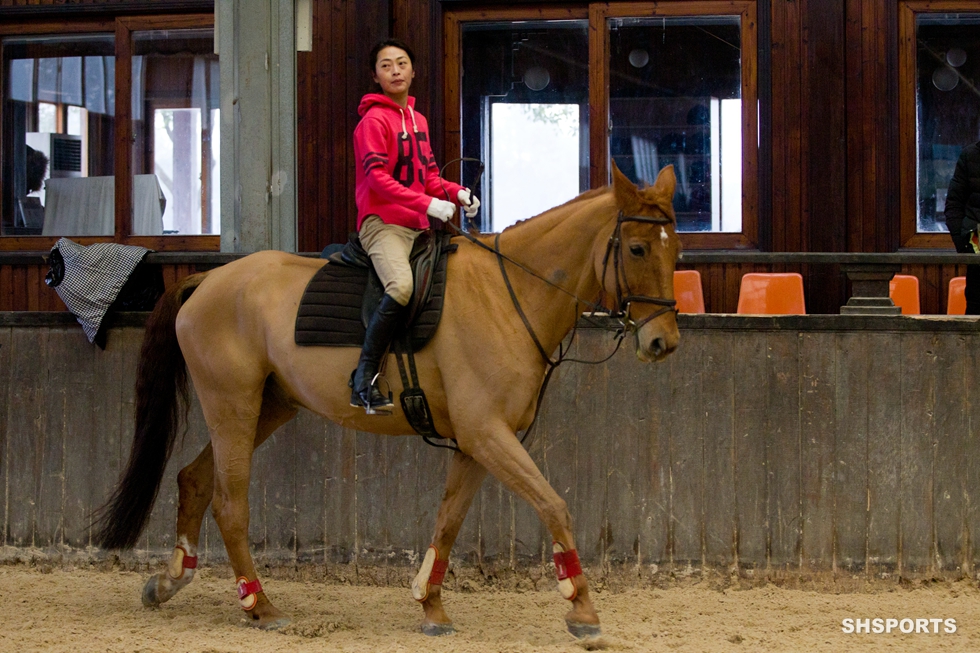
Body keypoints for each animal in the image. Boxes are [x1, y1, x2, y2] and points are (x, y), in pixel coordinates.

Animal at [92, 162, 676, 636]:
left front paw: (431, 605)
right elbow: (554, 504)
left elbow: (449, 519)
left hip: (267, 407)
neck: (508, 294)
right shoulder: (489, 434)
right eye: (638, 248)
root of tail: (208, 279)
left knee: (193, 481)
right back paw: (260, 606)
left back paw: (169, 582)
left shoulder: (476, 442)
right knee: (229, 502)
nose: (662, 343)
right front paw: (582, 609)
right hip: (232, 405)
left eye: (676, 250)